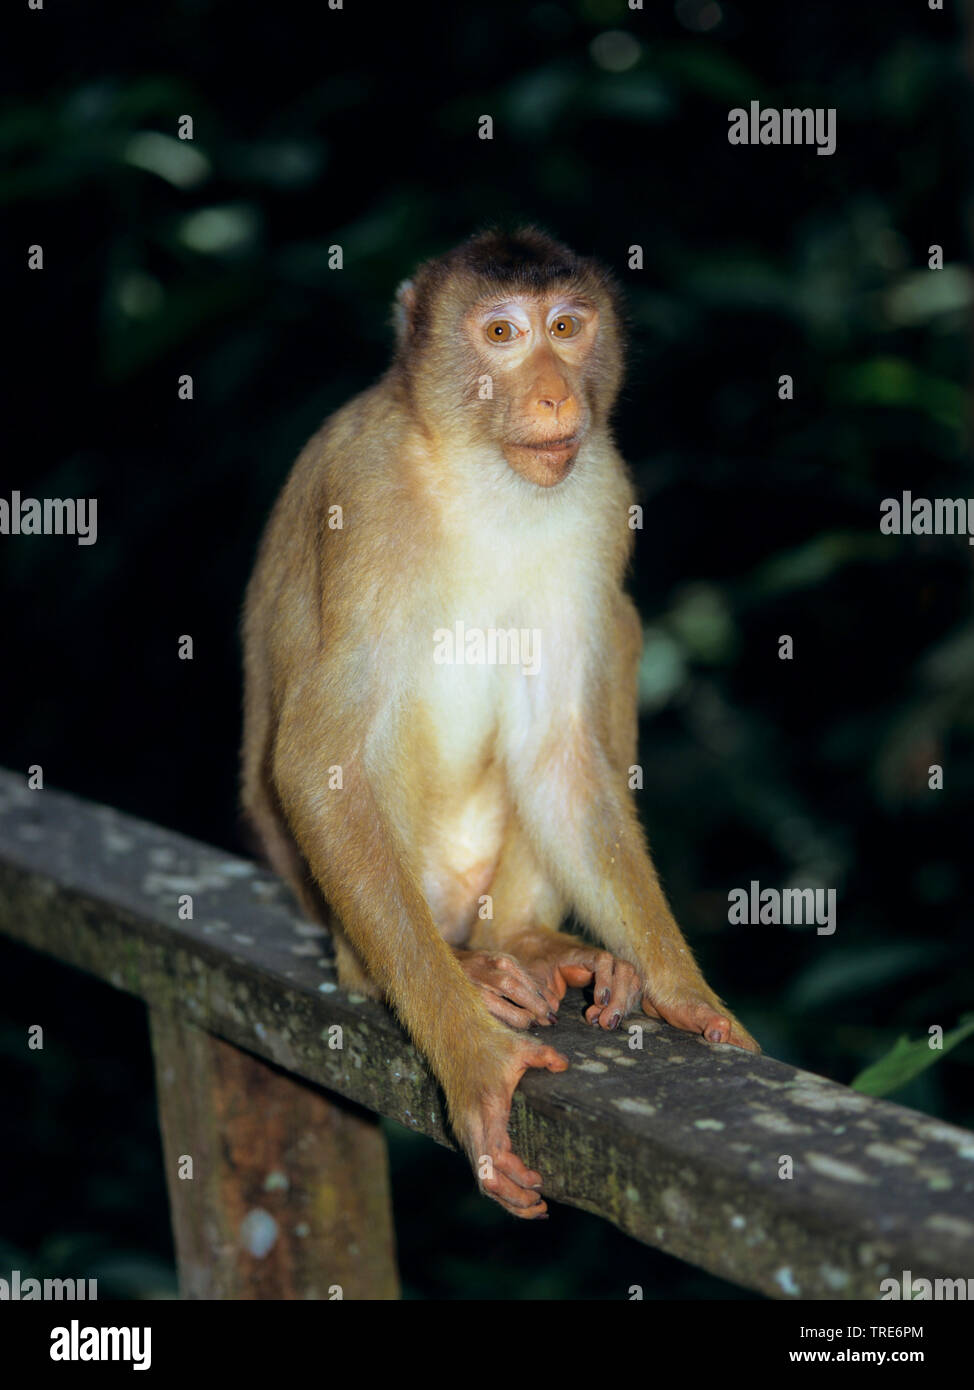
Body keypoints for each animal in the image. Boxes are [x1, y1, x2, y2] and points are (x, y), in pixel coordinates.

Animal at [243, 225, 761, 1217]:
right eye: (501, 334)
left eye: (565, 326)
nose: (556, 392)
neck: (479, 472)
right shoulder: (367, 491)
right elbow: (319, 760)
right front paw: (474, 1060)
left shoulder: (600, 488)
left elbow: (558, 753)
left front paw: (685, 990)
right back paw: (443, 973)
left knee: (614, 632)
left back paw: (521, 941)